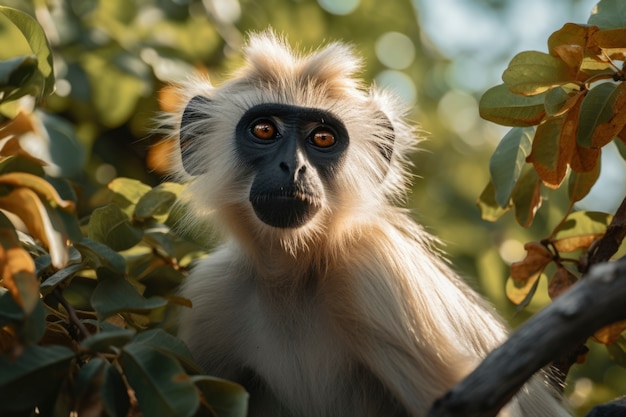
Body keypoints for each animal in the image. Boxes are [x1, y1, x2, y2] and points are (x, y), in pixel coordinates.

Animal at [168, 30, 568, 416]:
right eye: (264, 130)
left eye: (322, 137)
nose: (293, 167)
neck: (292, 278)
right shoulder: (210, 293)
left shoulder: (375, 268)